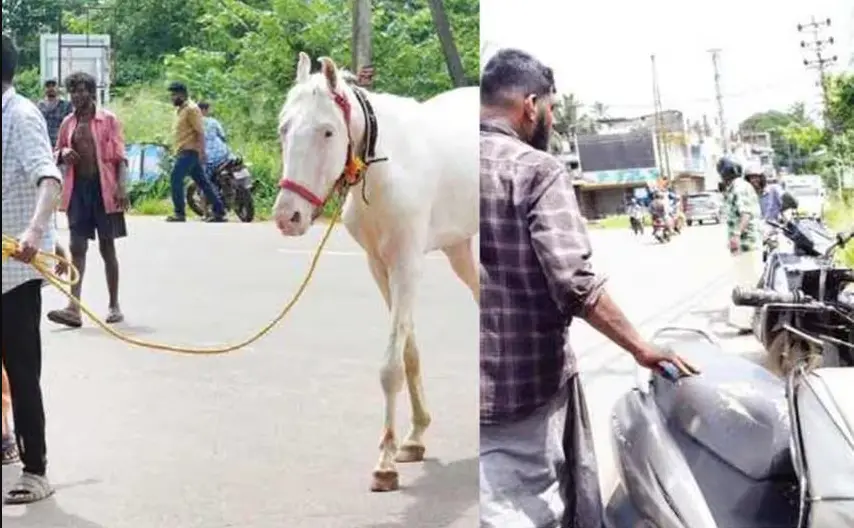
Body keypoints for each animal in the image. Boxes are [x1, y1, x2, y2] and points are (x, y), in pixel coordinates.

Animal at [272, 52, 479, 492]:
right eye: (284, 128)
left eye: (327, 131)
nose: (287, 217)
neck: (386, 169)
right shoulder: (380, 265)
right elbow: (408, 354)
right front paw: (415, 436)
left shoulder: (407, 263)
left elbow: (389, 367)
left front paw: (384, 462)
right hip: (457, 247)